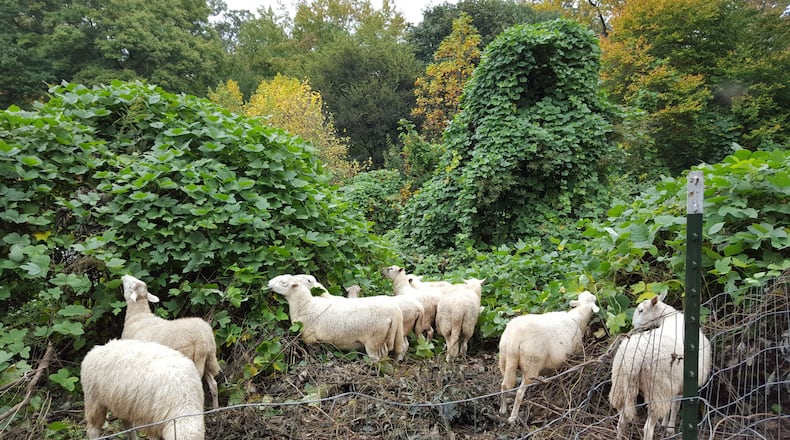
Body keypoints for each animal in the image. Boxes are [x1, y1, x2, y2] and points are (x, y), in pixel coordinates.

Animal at [121, 275, 220, 409]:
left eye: (131, 286)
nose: (123, 276)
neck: (139, 316)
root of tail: (202, 338)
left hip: (191, 358)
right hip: (208, 358)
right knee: (213, 384)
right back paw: (216, 408)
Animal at [268, 274, 407, 361]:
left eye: (283, 282)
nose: (268, 283)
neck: (306, 305)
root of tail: (395, 312)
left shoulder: (309, 337)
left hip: (374, 340)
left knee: (378, 359)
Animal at [498, 291, 600, 423]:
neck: (578, 317)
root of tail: (514, 338)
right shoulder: (576, 350)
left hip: (504, 359)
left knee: (504, 385)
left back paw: (503, 409)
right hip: (532, 363)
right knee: (519, 392)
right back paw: (513, 417)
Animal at [609, 295, 713, 440]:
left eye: (641, 310)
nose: (634, 325)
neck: (670, 317)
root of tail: (634, 360)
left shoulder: (673, 386)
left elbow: (671, 407)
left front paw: (665, 424)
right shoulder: (677, 386)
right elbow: (675, 407)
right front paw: (670, 429)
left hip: (620, 384)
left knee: (621, 421)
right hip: (657, 389)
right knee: (647, 428)